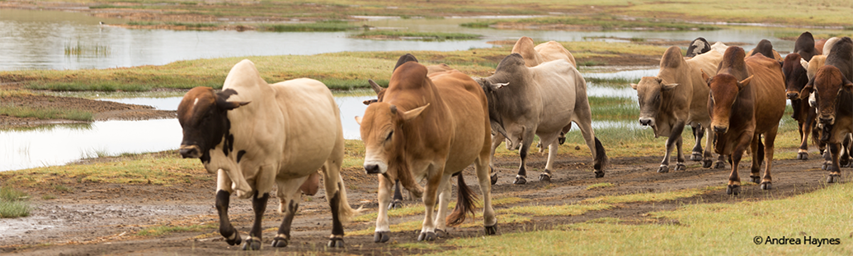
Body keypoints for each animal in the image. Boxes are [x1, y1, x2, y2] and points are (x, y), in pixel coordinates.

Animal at [177, 60, 356, 250]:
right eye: (180, 118)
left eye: (208, 115)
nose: (186, 150)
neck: (244, 121)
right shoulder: (225, 168)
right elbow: (221, 201)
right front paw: (232, 235)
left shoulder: (267, 168)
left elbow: (259, 205)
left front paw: (253, 239)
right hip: (297, 171)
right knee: (293, 203)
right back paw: (281, 236)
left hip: (332, 162)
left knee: (333, 197)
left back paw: (336, 236)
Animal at [356, 54, 496, 242]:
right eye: (364, 135)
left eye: (390, 133)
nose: (370, 167)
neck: (412, 129)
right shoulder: (385, 163)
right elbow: (383, 196)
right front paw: (381, 229)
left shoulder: (436, 165)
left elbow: (429, 197)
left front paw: (427, 230)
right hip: (449, 164)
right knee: (446, 192)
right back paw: (440, 226)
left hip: (482, 151)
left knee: (484, 184)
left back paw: (489, 222)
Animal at [704, 46, 784, 194]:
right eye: (711, 95)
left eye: (735, 98)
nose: (719, 127)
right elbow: (731, 157)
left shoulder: (747, 131)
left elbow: (736, 155)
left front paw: (734, 183)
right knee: (754, 147)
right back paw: (755, 173)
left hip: (773, 125)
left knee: (768, 150)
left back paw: (766, 180)